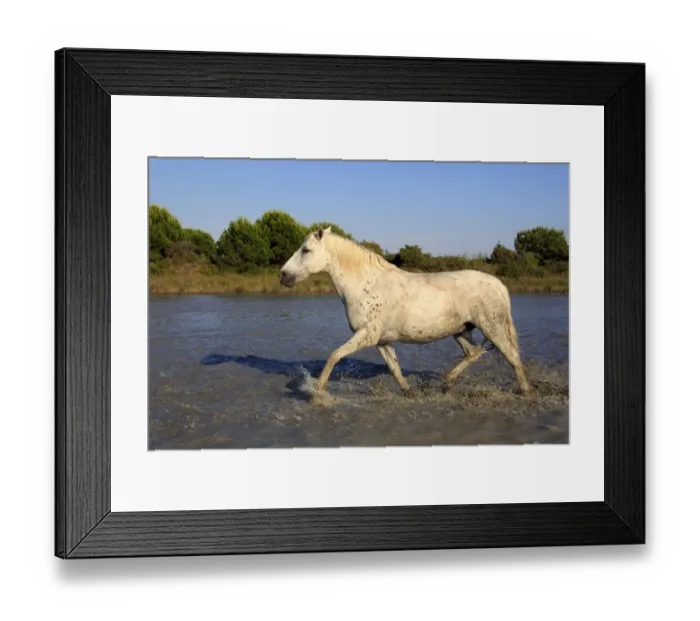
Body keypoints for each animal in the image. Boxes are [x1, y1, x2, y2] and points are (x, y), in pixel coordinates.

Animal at [279, 227, 532, 398]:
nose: (283, 275)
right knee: (475, 353)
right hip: (461, 331)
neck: (366, 284)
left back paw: (525, 391)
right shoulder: (381, 341)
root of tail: (499, 285)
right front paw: (410, 391)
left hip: (493, 328)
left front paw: (317, 391)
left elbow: (334, 355)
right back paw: (446, 382)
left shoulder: (367, 335)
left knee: (513, 358)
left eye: (306, 250)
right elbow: (395, 370)